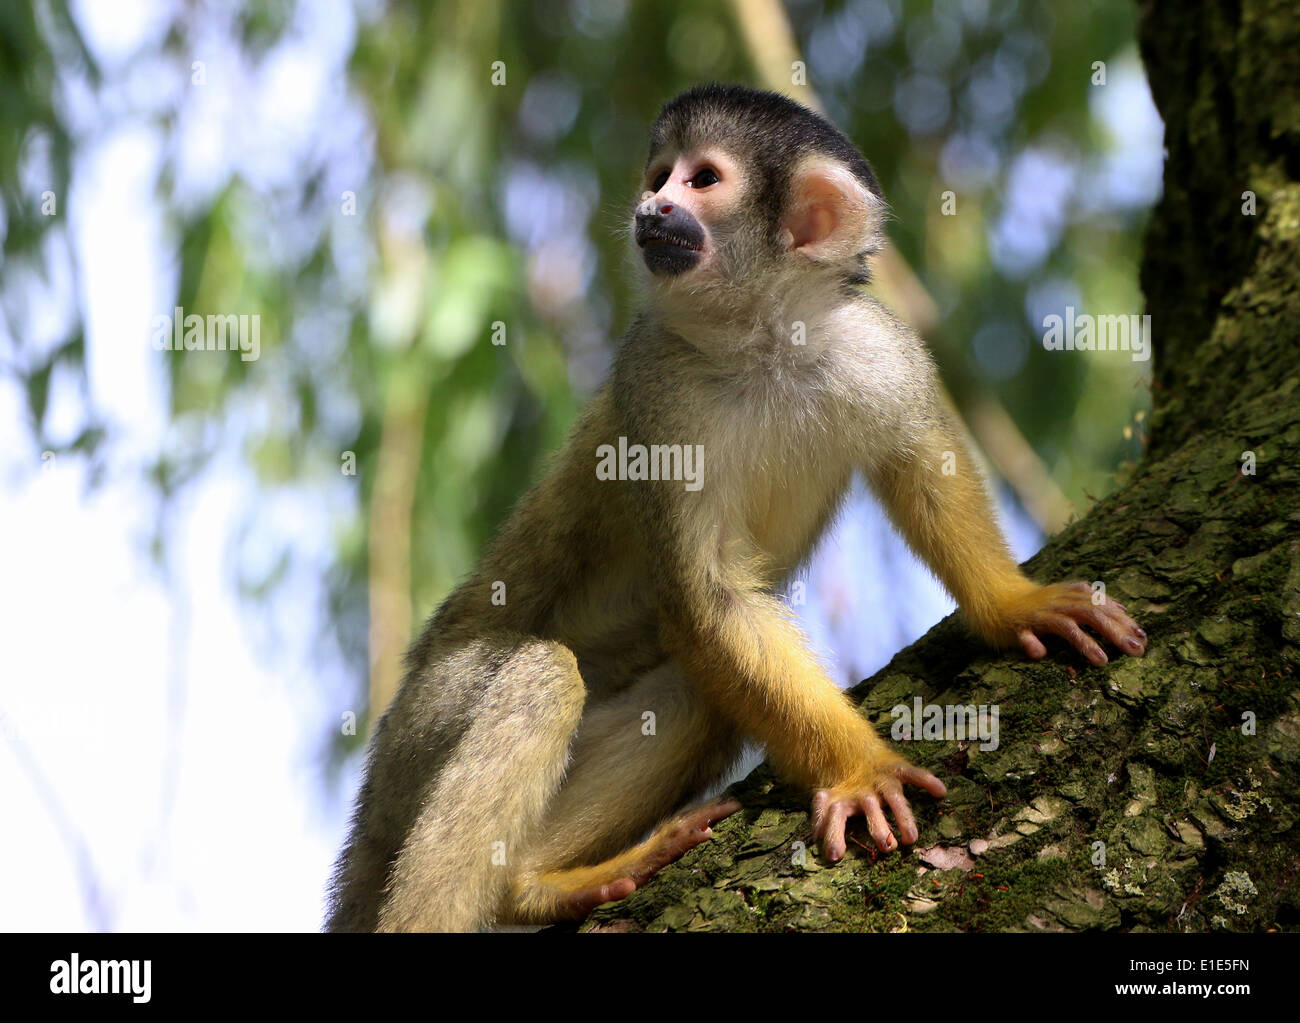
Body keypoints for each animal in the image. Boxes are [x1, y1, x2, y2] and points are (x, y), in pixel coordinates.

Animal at [326, 83, 1147, 933]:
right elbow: (708, 593)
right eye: (660, 175)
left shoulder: (874, 346)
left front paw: (1014, 604)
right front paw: (861, 770)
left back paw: (535, 881)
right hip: (417, 735)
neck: (762, 339)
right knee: (540, 675)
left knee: (696, 693)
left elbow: (924, 467)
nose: (651, 207)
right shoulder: (654, 381)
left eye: (702, 180)